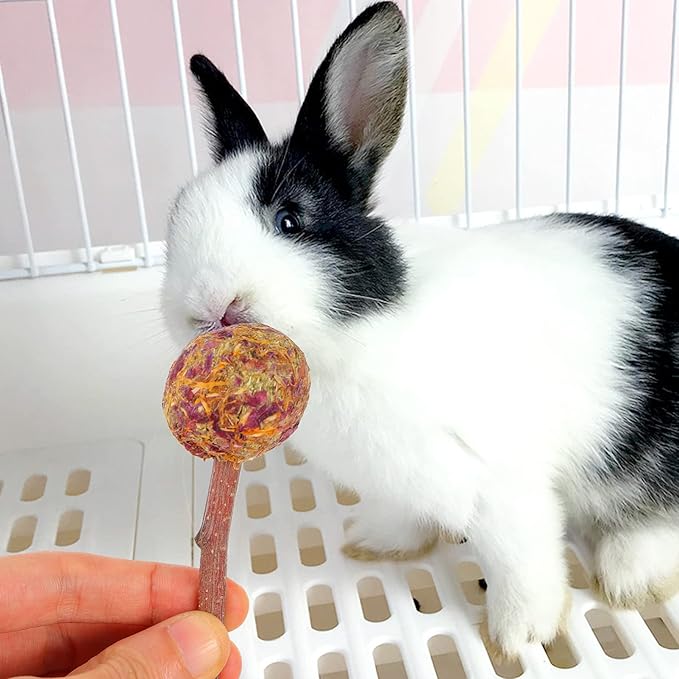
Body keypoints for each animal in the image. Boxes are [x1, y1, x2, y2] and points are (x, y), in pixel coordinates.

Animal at [162, 0, 679, 659]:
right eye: (176, 219)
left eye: (290, 220)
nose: (209, 306)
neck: (360, 330)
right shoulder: (403, 481)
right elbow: (407, 514)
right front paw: (374, 541)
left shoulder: (500, 480)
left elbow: (520, 558)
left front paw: (522, 635)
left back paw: (631, 577)